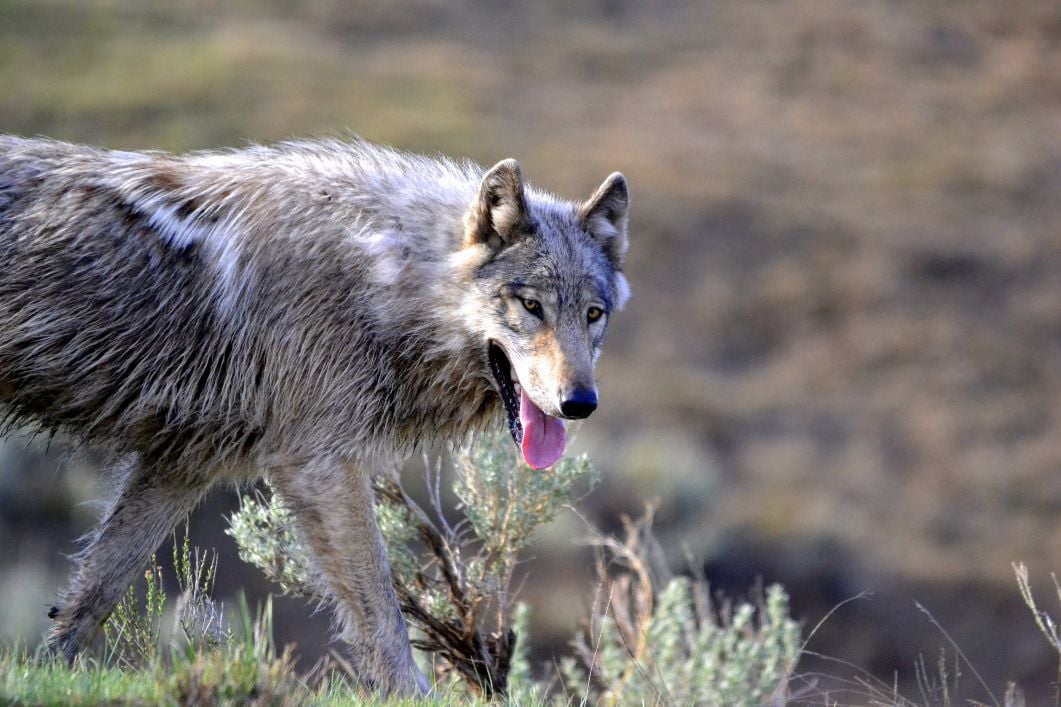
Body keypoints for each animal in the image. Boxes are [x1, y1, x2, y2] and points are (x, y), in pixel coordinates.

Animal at [0, 134, 628, 692]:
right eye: (531, 306)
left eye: (593, 314)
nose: (580, 404)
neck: (382, 277)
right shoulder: (321, 469)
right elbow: (383, 616)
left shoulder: (182, 465)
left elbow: (90, 598)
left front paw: (45, 675)